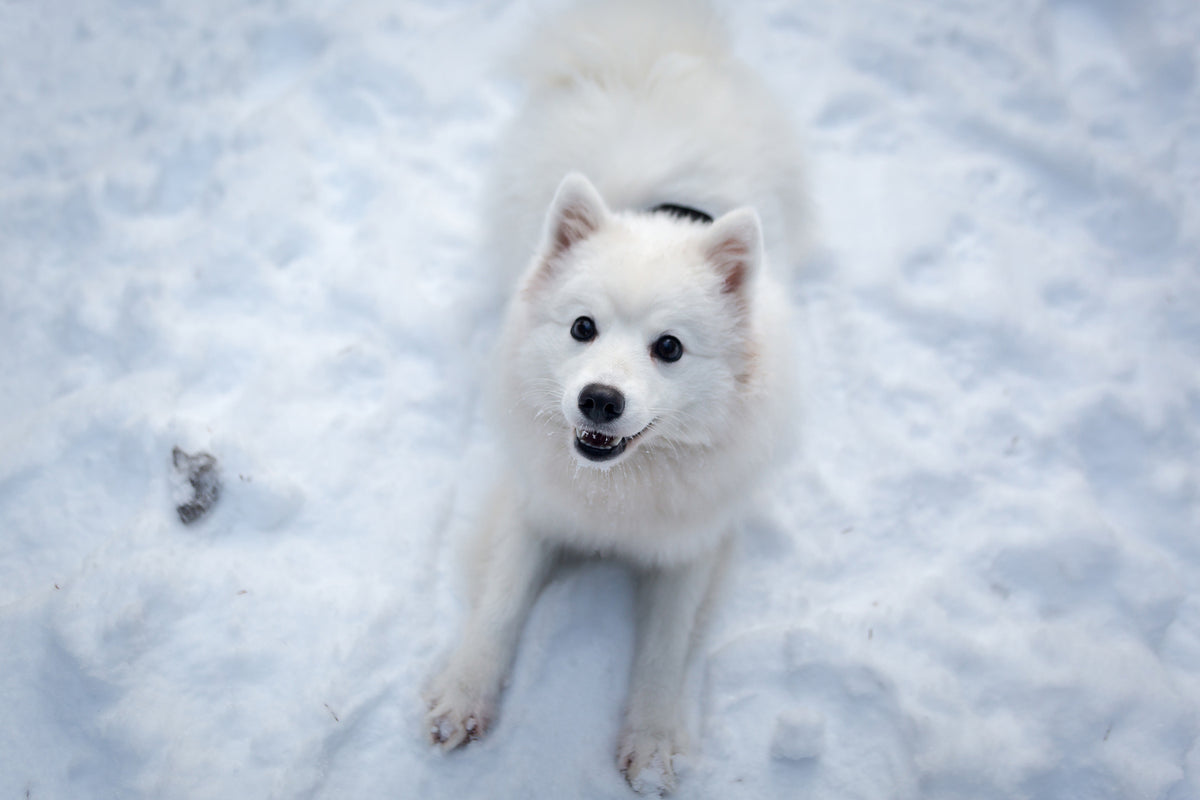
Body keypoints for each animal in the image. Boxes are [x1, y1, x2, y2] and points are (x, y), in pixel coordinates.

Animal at [422, 0, 806, 791]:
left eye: (670, 348)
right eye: (582, 327)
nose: (599, 400)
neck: (619, 490)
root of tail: (649, 44)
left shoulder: (693, 545)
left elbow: (665, 648)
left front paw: (653, 744)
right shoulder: (533, 508)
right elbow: (500, 604)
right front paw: (463, 696)